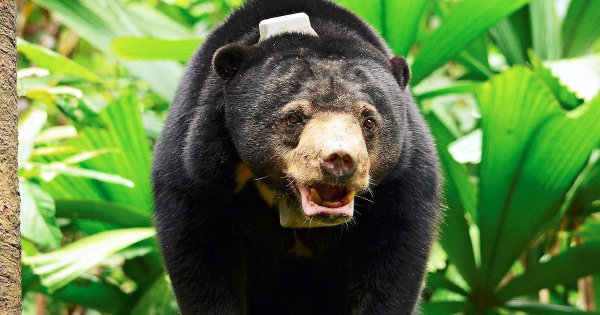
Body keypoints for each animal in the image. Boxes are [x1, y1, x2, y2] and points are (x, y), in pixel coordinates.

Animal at [150, 0, 440, 314]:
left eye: (368, 121)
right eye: (294, 118)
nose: (340, 159)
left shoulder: (404, 180)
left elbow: (393, 260)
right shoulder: (197, 169)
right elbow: (203, 255)